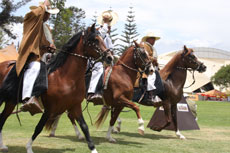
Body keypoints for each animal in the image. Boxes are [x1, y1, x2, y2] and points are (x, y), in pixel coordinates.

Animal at [0, 24, 113, 153]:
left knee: (2, 119)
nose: (110, 57)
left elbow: (84, 127)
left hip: (10, 102)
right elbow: (39, 127)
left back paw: (2, 146)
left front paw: (93, 149)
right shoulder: (50, 108)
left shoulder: (75, 106)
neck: (65, 77)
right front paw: (28, 147)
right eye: (95, 40)